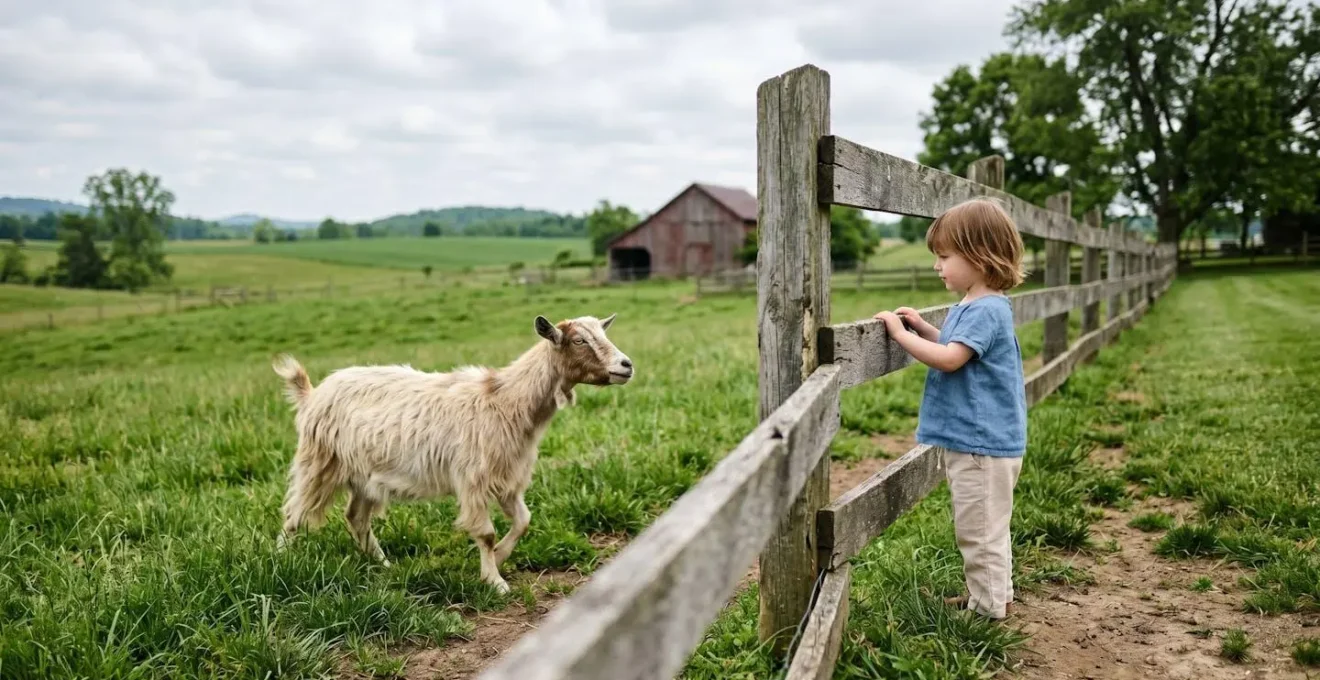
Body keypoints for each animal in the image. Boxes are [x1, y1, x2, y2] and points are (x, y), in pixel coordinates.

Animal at [271, 313, 633, 592]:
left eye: (602, 333)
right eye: (579, 341)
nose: (626, 365)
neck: (505, 401)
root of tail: (312, 394)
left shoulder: (506, 477)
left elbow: (523, 521)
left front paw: (499, 558)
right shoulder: (473, 478)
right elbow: (485, 533)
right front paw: (494, 581)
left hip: (365, 477)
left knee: (356, 518)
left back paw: (384, 565)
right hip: (319, 463)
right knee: (294, 514)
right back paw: (281, 561)